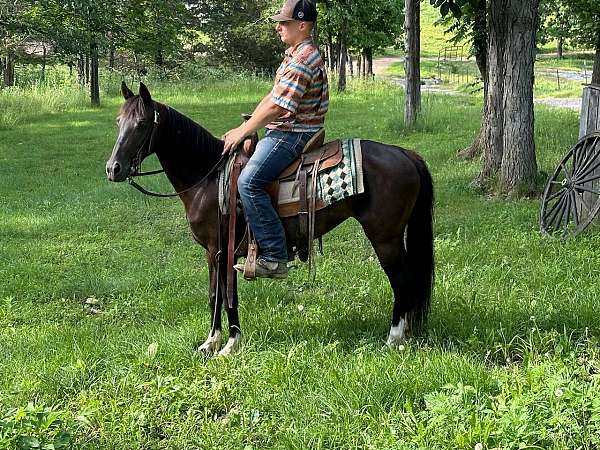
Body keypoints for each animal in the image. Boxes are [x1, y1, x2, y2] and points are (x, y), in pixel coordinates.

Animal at [103, 81, 432, 356]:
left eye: (142, 124)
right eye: (119, 122)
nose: (113, 169)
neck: (207, 177)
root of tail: (405, 153)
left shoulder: (219, 249)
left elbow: (225, 296)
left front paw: (226, 344)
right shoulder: (219, 251)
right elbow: (217, 294)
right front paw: (214, 342)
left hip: (384, 237)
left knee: (402, 280)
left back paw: (393, 338)